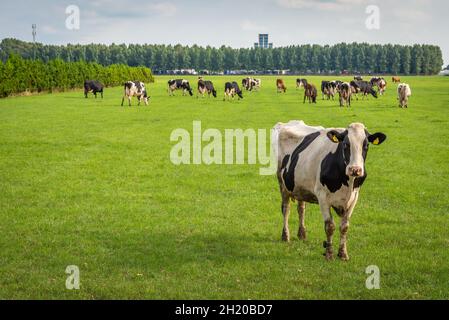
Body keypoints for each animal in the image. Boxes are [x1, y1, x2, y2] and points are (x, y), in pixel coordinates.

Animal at [272, 120, 386, 260]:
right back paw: (285, 235)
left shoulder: (354, 197)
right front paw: (329, 254)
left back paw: (302, 234)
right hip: (282, 183)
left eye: (366, 145)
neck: (347, 183)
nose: (355, 169)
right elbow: (329, 226)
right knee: (285, 209)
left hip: (299, 186)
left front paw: (343, 254)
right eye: (346, 144)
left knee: (301, 209)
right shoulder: (322, 197)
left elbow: (344, 227)